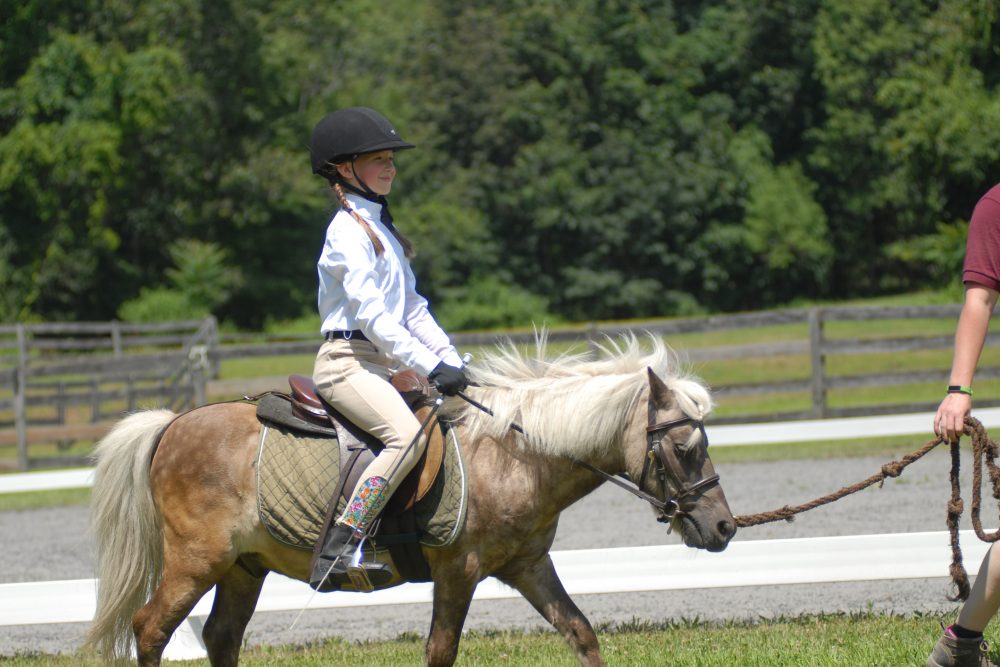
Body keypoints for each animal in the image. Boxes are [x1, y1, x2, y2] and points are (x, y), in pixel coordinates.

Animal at [86, 336, 736, 667]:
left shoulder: (528, 566)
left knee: (221, 636)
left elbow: (581, 633)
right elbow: (441, 651)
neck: (514, 455)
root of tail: (173, 424)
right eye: (684, 448)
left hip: (244, 567)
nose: (725, 527)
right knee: (151, 629)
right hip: (197, 561)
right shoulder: (458, 571)